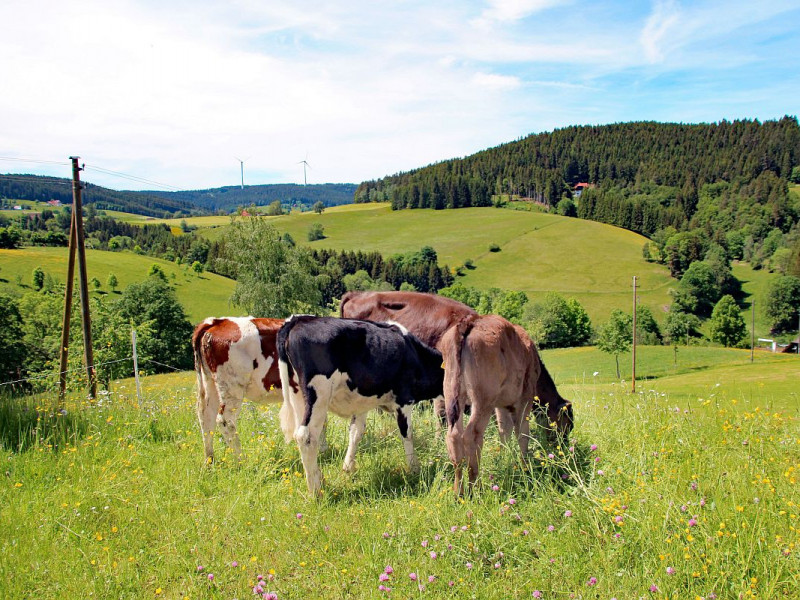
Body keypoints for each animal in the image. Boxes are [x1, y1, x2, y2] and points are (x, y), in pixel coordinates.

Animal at [192, 316, 286, 462]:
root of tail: (217, 321)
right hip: (232, 388)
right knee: (224, 420)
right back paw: (241, 460)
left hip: (209, 382)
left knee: (206, 416)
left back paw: (210, 461)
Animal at [278, 314, 444, 496]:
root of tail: (297, 320)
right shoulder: (404, 398)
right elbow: (407, 433)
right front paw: (414, 468)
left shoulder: (362, 403)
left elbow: (356, 433)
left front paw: (347, 468)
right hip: (318, 393)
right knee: (306, 436)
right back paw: (316, 491)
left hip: (298, 395)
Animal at [438, 314, 576, 492]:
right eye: (568, 424)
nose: (563, 446)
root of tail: (470, 321)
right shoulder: (525, 397)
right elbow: (522, 434)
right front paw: (525, 468)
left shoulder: (501, 405)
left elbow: (504, 432)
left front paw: (504, 461)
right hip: (483, 399)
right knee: (471, 436)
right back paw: (475, 488)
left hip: (452, 392)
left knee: (453, 436)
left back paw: (458, 491)